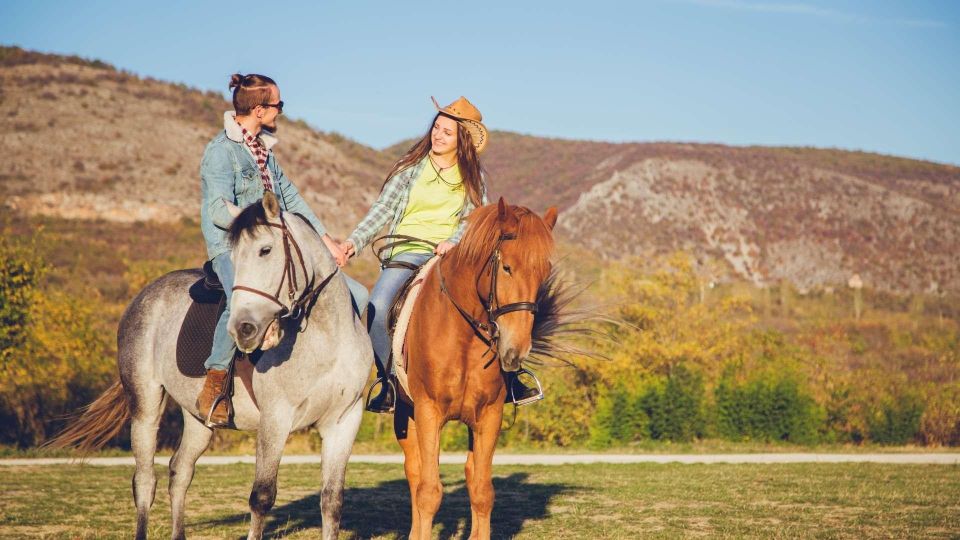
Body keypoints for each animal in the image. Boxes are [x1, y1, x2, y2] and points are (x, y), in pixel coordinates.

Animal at [48, 194, 374, 540]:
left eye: (266, 250)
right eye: (235, 256)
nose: (243, 329)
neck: (326, 338)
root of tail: (144, 297)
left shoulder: (343, 421)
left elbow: (332, 500)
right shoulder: (275, 419)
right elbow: (262, 497)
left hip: (198, 419)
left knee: (179, 471)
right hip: (145, 404)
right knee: (145, 481)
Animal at [390, 199, 556, 540]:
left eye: (543, 274)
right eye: (507, 267)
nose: (516, 350)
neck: (462, 334)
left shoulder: (490, 415)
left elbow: (482, 490)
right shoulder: (428, 412)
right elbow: (428, 491)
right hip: (405, 412)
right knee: (415, 471)